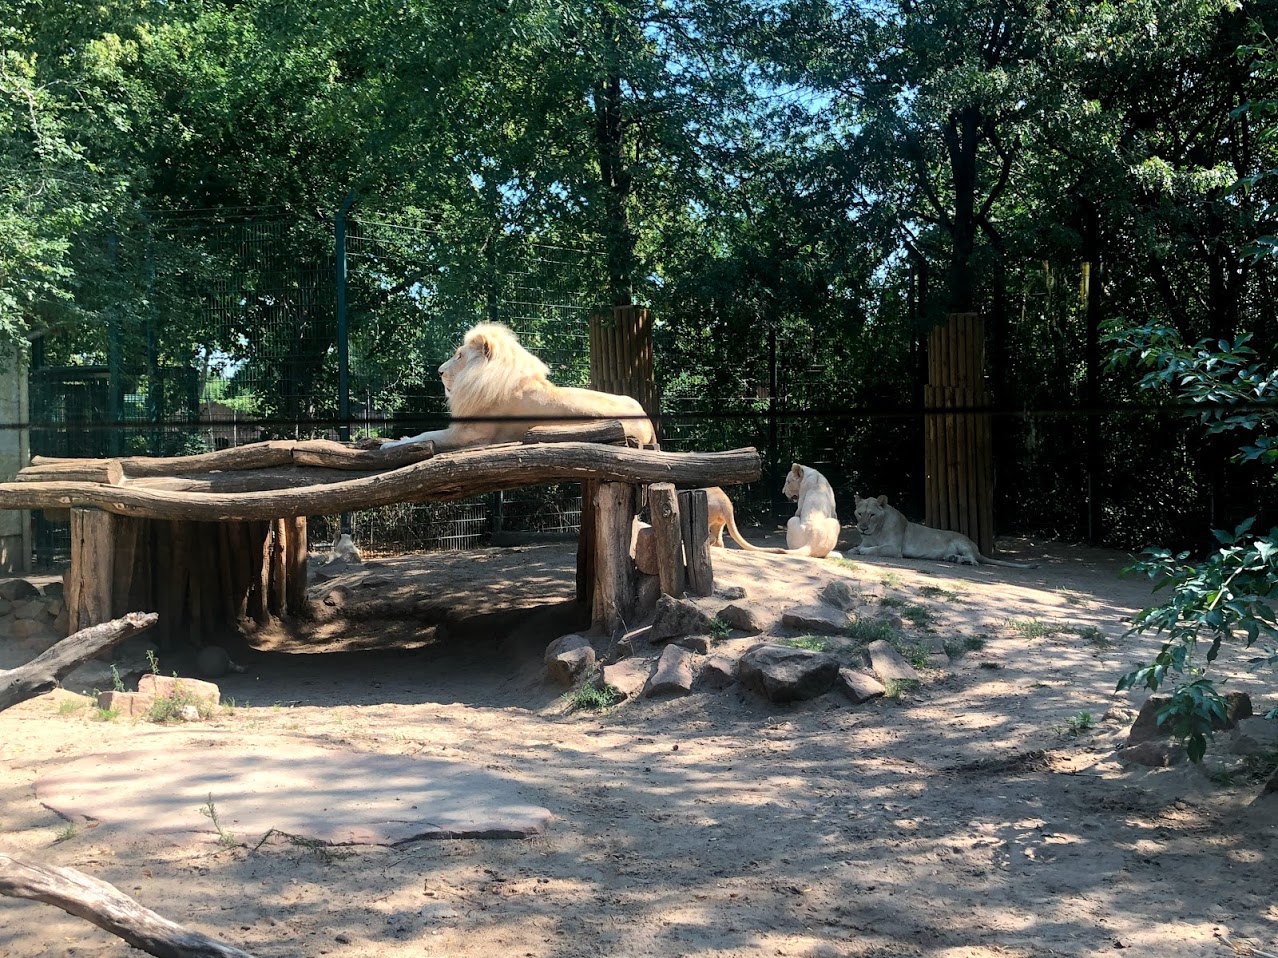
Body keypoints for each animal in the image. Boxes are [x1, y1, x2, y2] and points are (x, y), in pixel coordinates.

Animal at [379, 322, 656, 451]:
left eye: (459, 356)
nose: (439, 372)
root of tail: (648, 419)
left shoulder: (470, 434)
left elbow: (427, 434)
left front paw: (391, 444)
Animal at [851, 494, 1034, 568]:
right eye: (859, 514)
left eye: (872, 515)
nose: (862, 528)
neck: (875, 531)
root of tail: (976, 548)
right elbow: (860, 546)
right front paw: (855, 549)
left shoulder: (894, 549)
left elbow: (876, 549)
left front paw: (862, 552)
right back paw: (952, 558)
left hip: (962, 542)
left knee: (974, 559)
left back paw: (965, 561)